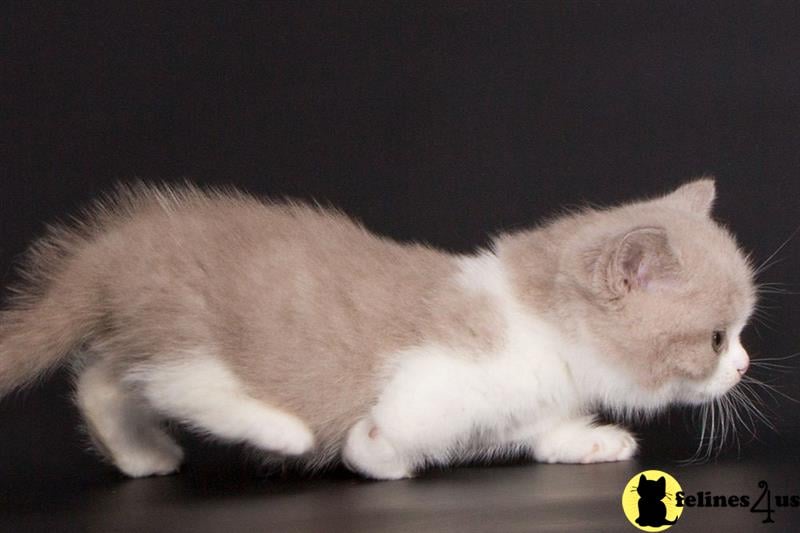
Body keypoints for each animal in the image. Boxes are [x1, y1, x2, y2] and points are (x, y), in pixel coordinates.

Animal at [0, 179, 752, 478]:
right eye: (718, 337)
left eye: (741, 333)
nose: (745, 364)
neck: (536, 325)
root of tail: (113, 249)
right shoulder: (435, 379)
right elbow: (384, 438)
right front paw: (378, 457)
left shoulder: (528, 409)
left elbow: (544, 432)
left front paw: (593, 440)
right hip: (188, 319)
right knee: (176, 379)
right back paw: (278, 429)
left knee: (104, 377)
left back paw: (140, 454)